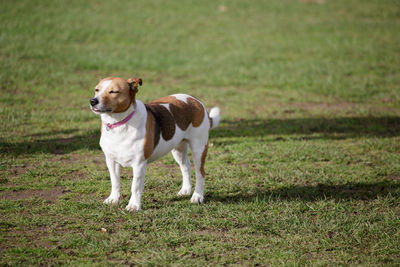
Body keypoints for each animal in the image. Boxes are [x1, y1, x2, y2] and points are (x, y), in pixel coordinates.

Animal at [89, 76, 220, 213]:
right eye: (96, 90)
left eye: (113, 91)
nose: (93, 101)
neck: (119, 123)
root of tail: (195, 100)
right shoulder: (111, 161)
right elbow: (115, 182)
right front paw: (113, 199)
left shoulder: (139, 164)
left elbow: (135, 186)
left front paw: (134, 205)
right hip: (178, 149)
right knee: (186, 167)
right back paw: (186, 190)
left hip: (199, 148)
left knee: (200, 173)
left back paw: (197, 196)